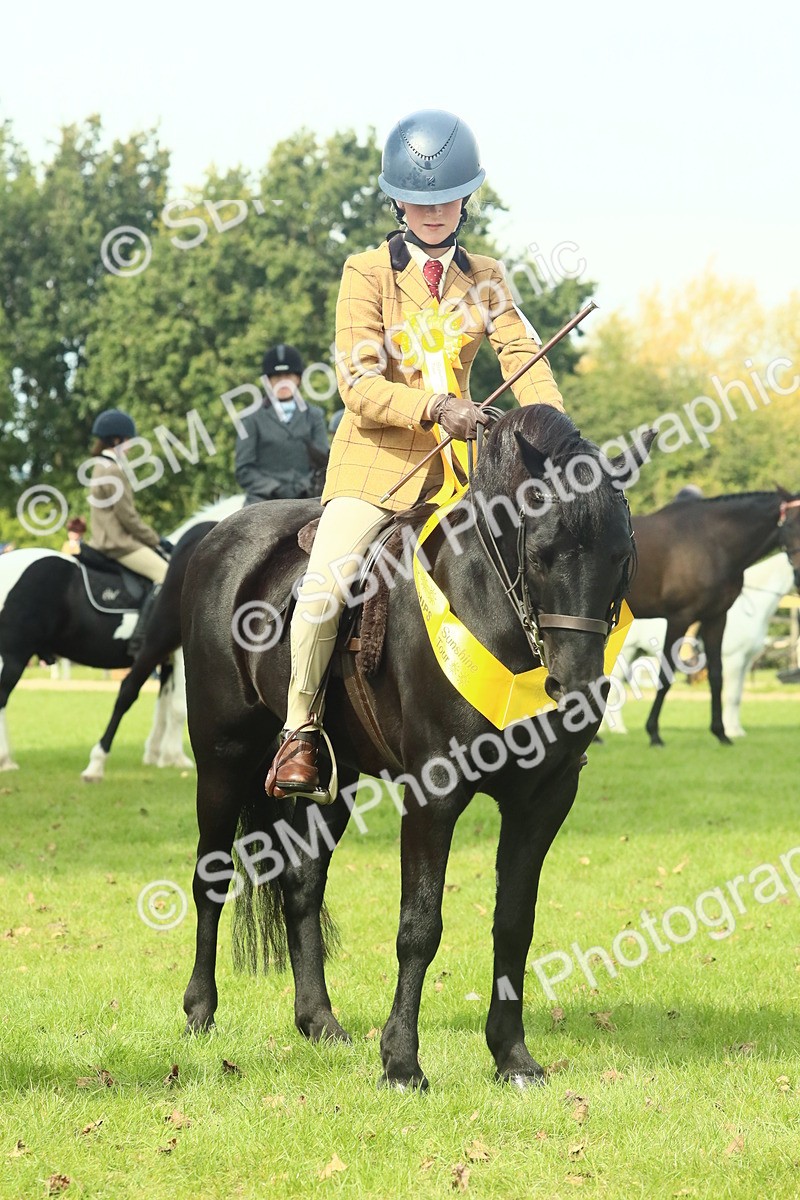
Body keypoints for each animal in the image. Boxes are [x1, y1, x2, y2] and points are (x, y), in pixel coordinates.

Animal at [0, 496, 244, 772]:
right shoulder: (178, 652)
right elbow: (177, 706)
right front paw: (174, 757)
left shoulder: (165, 658)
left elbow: (162, 705)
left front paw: (157, 754)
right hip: (14, 655)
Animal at [181, 406, 650, 1089]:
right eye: (542, 554)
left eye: (621, 555)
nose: (578, 684)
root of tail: (221, 538)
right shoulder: (434, 792)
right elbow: (419, 925)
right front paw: (402, 1063)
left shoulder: (544, 798)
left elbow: (514, 923)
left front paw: (512, 1057)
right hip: (223, 759)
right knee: (210, 879)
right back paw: (199, 1011)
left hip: (336, 780)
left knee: (302, 883)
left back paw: (319, 1022)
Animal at [628, 490, 800, 746]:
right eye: (788, 525)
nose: (798, 576)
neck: (711, 542)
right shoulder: (680, 618)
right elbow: (666, 674)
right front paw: (654, 733)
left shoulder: (716, 618)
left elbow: (717, 675)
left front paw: (721, 733)